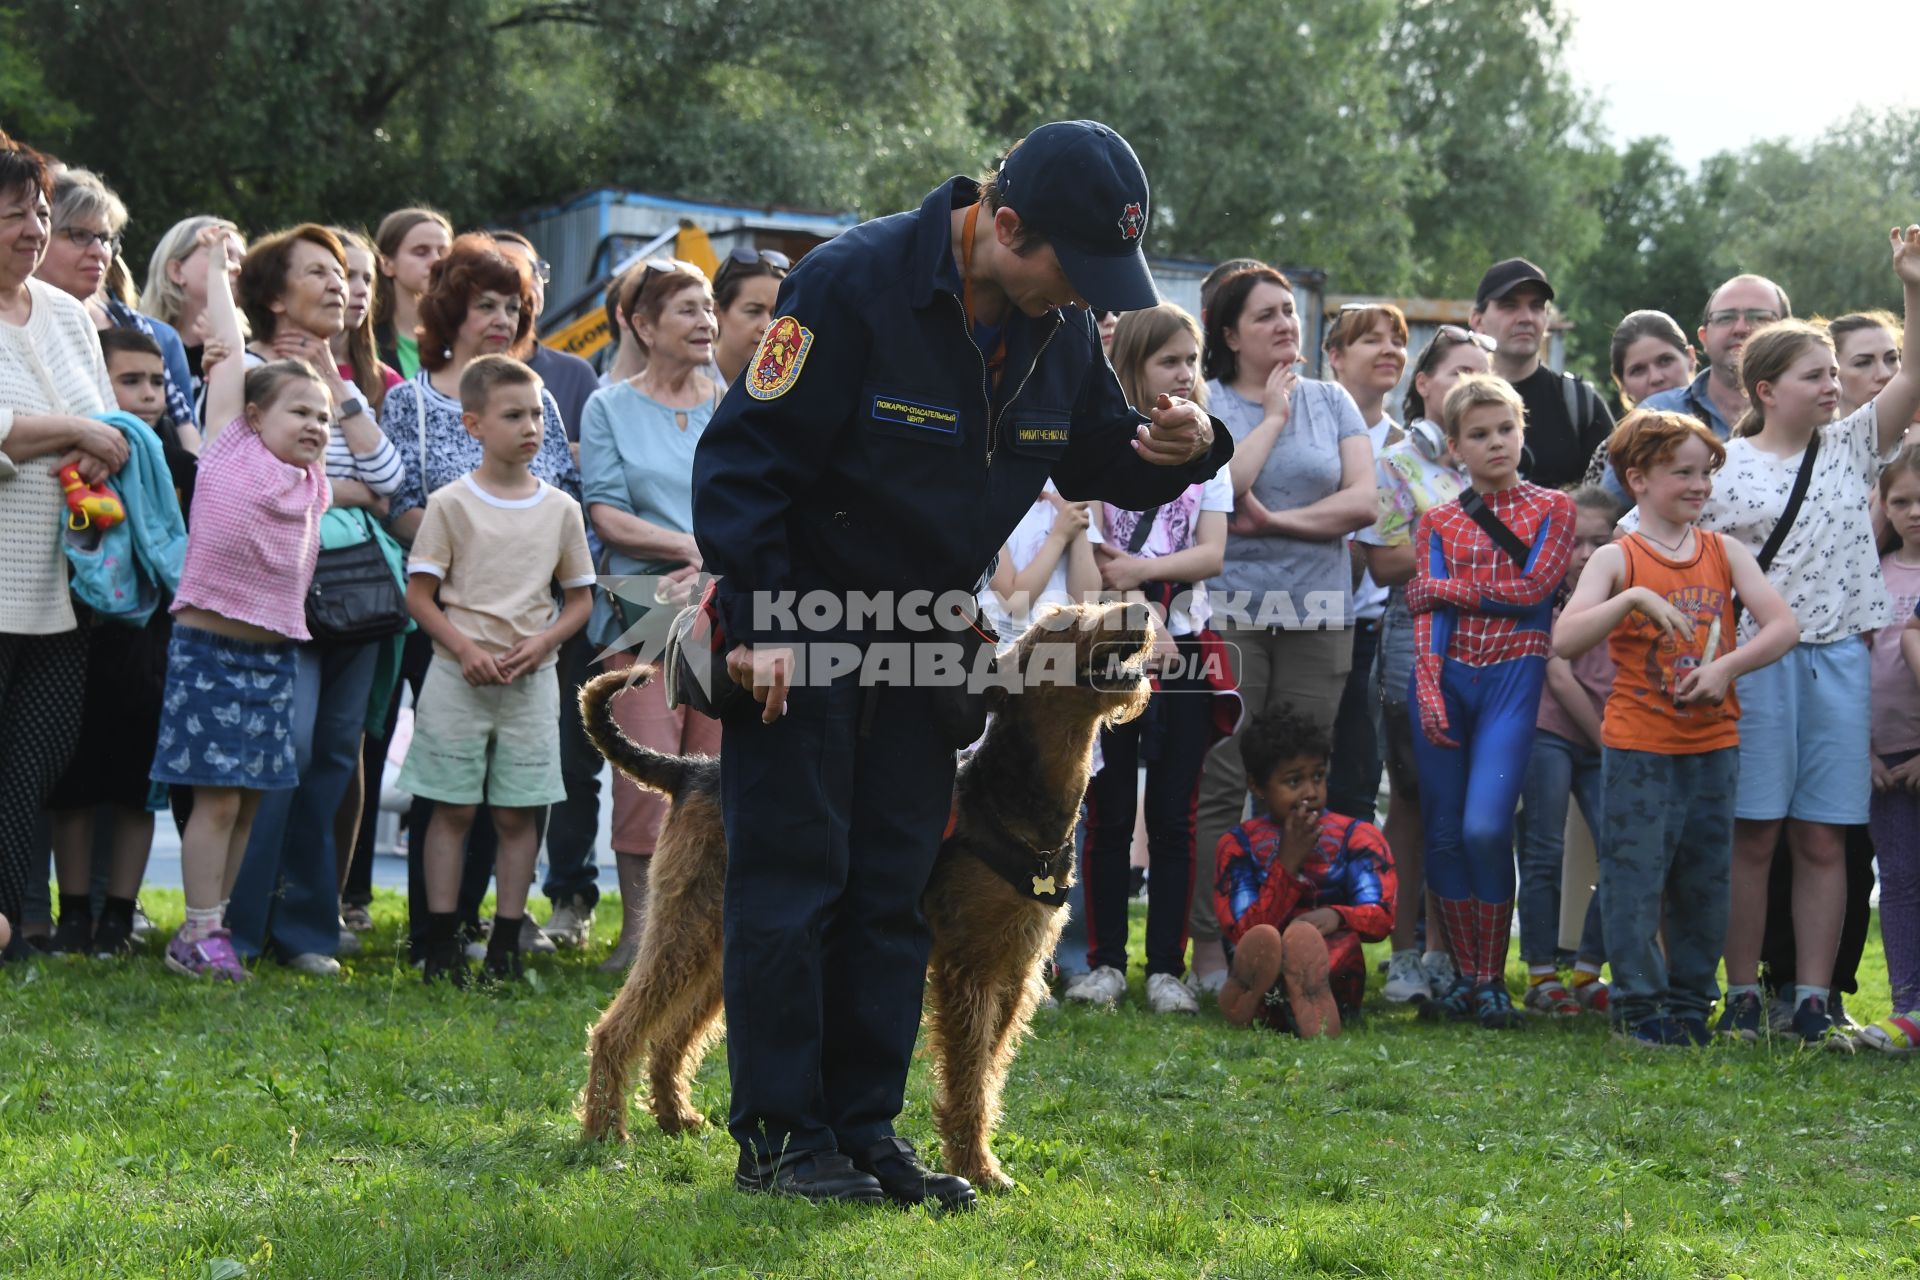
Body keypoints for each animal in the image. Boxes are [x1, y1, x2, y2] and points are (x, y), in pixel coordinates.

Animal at [572, 602, 1152, 1189]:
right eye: (1062, 622)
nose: (1141, 609)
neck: (1018, 801)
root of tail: (689, 770)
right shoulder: (970, 970)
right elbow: (967, 1077)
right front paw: (977, 1169)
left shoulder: (1014, 970)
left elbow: (987, 1073)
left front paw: (978, 1161)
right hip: (685, 927)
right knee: (616, 1028)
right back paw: (604, 1132)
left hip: (717, 944)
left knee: (672, 1035)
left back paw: (676, 1116)